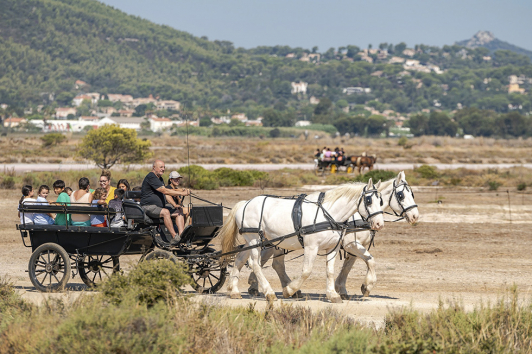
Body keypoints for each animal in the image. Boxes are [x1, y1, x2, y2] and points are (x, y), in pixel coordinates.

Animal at [218, 180, 384, 304]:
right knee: (255, 264)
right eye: (369, 200)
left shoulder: (333, 248)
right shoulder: (312, 247)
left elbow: (330, 271)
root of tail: (245, 203)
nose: (379, 224)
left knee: (240, 259)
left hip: (253, 241)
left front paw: (333, 295)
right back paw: (269, 292)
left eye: (381, 201)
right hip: (254, 238)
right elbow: (306, 271)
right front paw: (289, 290)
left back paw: (234, 291)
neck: (328, 214)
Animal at [246, 171, 420, 298]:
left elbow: (349, 267)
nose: (415, 217)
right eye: (401, 195)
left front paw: (341, 289)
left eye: (412, 194)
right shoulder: (351, 244)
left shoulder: (352, 247)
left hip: (275, 243)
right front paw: (366, 286)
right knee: (257, 260)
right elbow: (370, 261)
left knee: (270, 263)